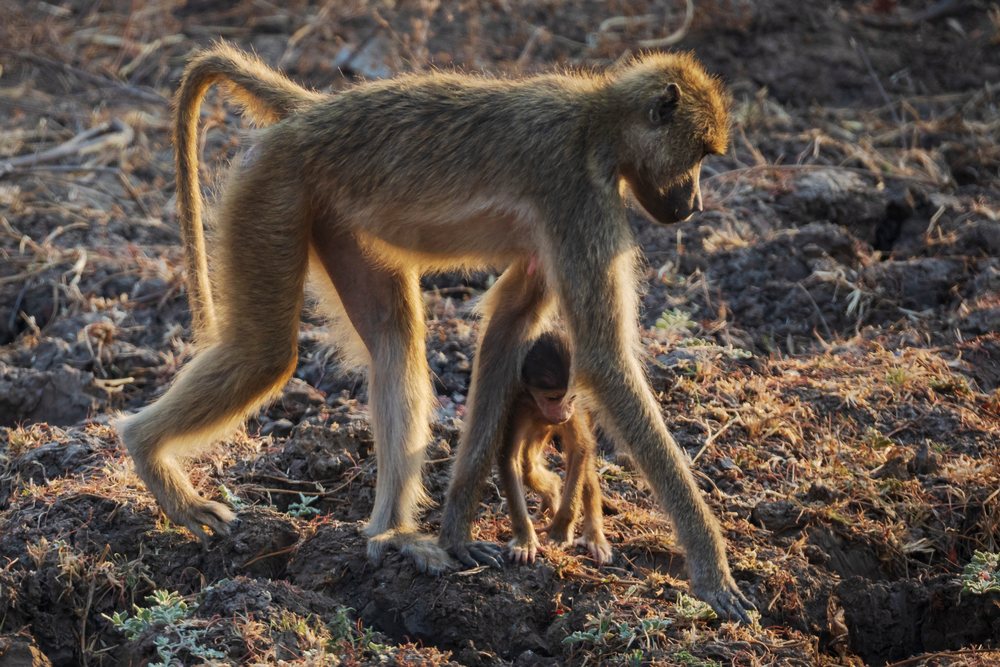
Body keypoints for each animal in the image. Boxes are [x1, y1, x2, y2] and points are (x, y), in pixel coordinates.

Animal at [499, 330, 612, 566]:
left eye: (570, 397)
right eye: (552, 398)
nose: (563, 413)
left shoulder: (577, 407)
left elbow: (580, 449)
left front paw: (561, 531)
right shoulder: (518, 405)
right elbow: (509, 457)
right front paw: (525, 539)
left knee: (584, 467)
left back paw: (594, 536)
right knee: (528, 465)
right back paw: (552, 490)